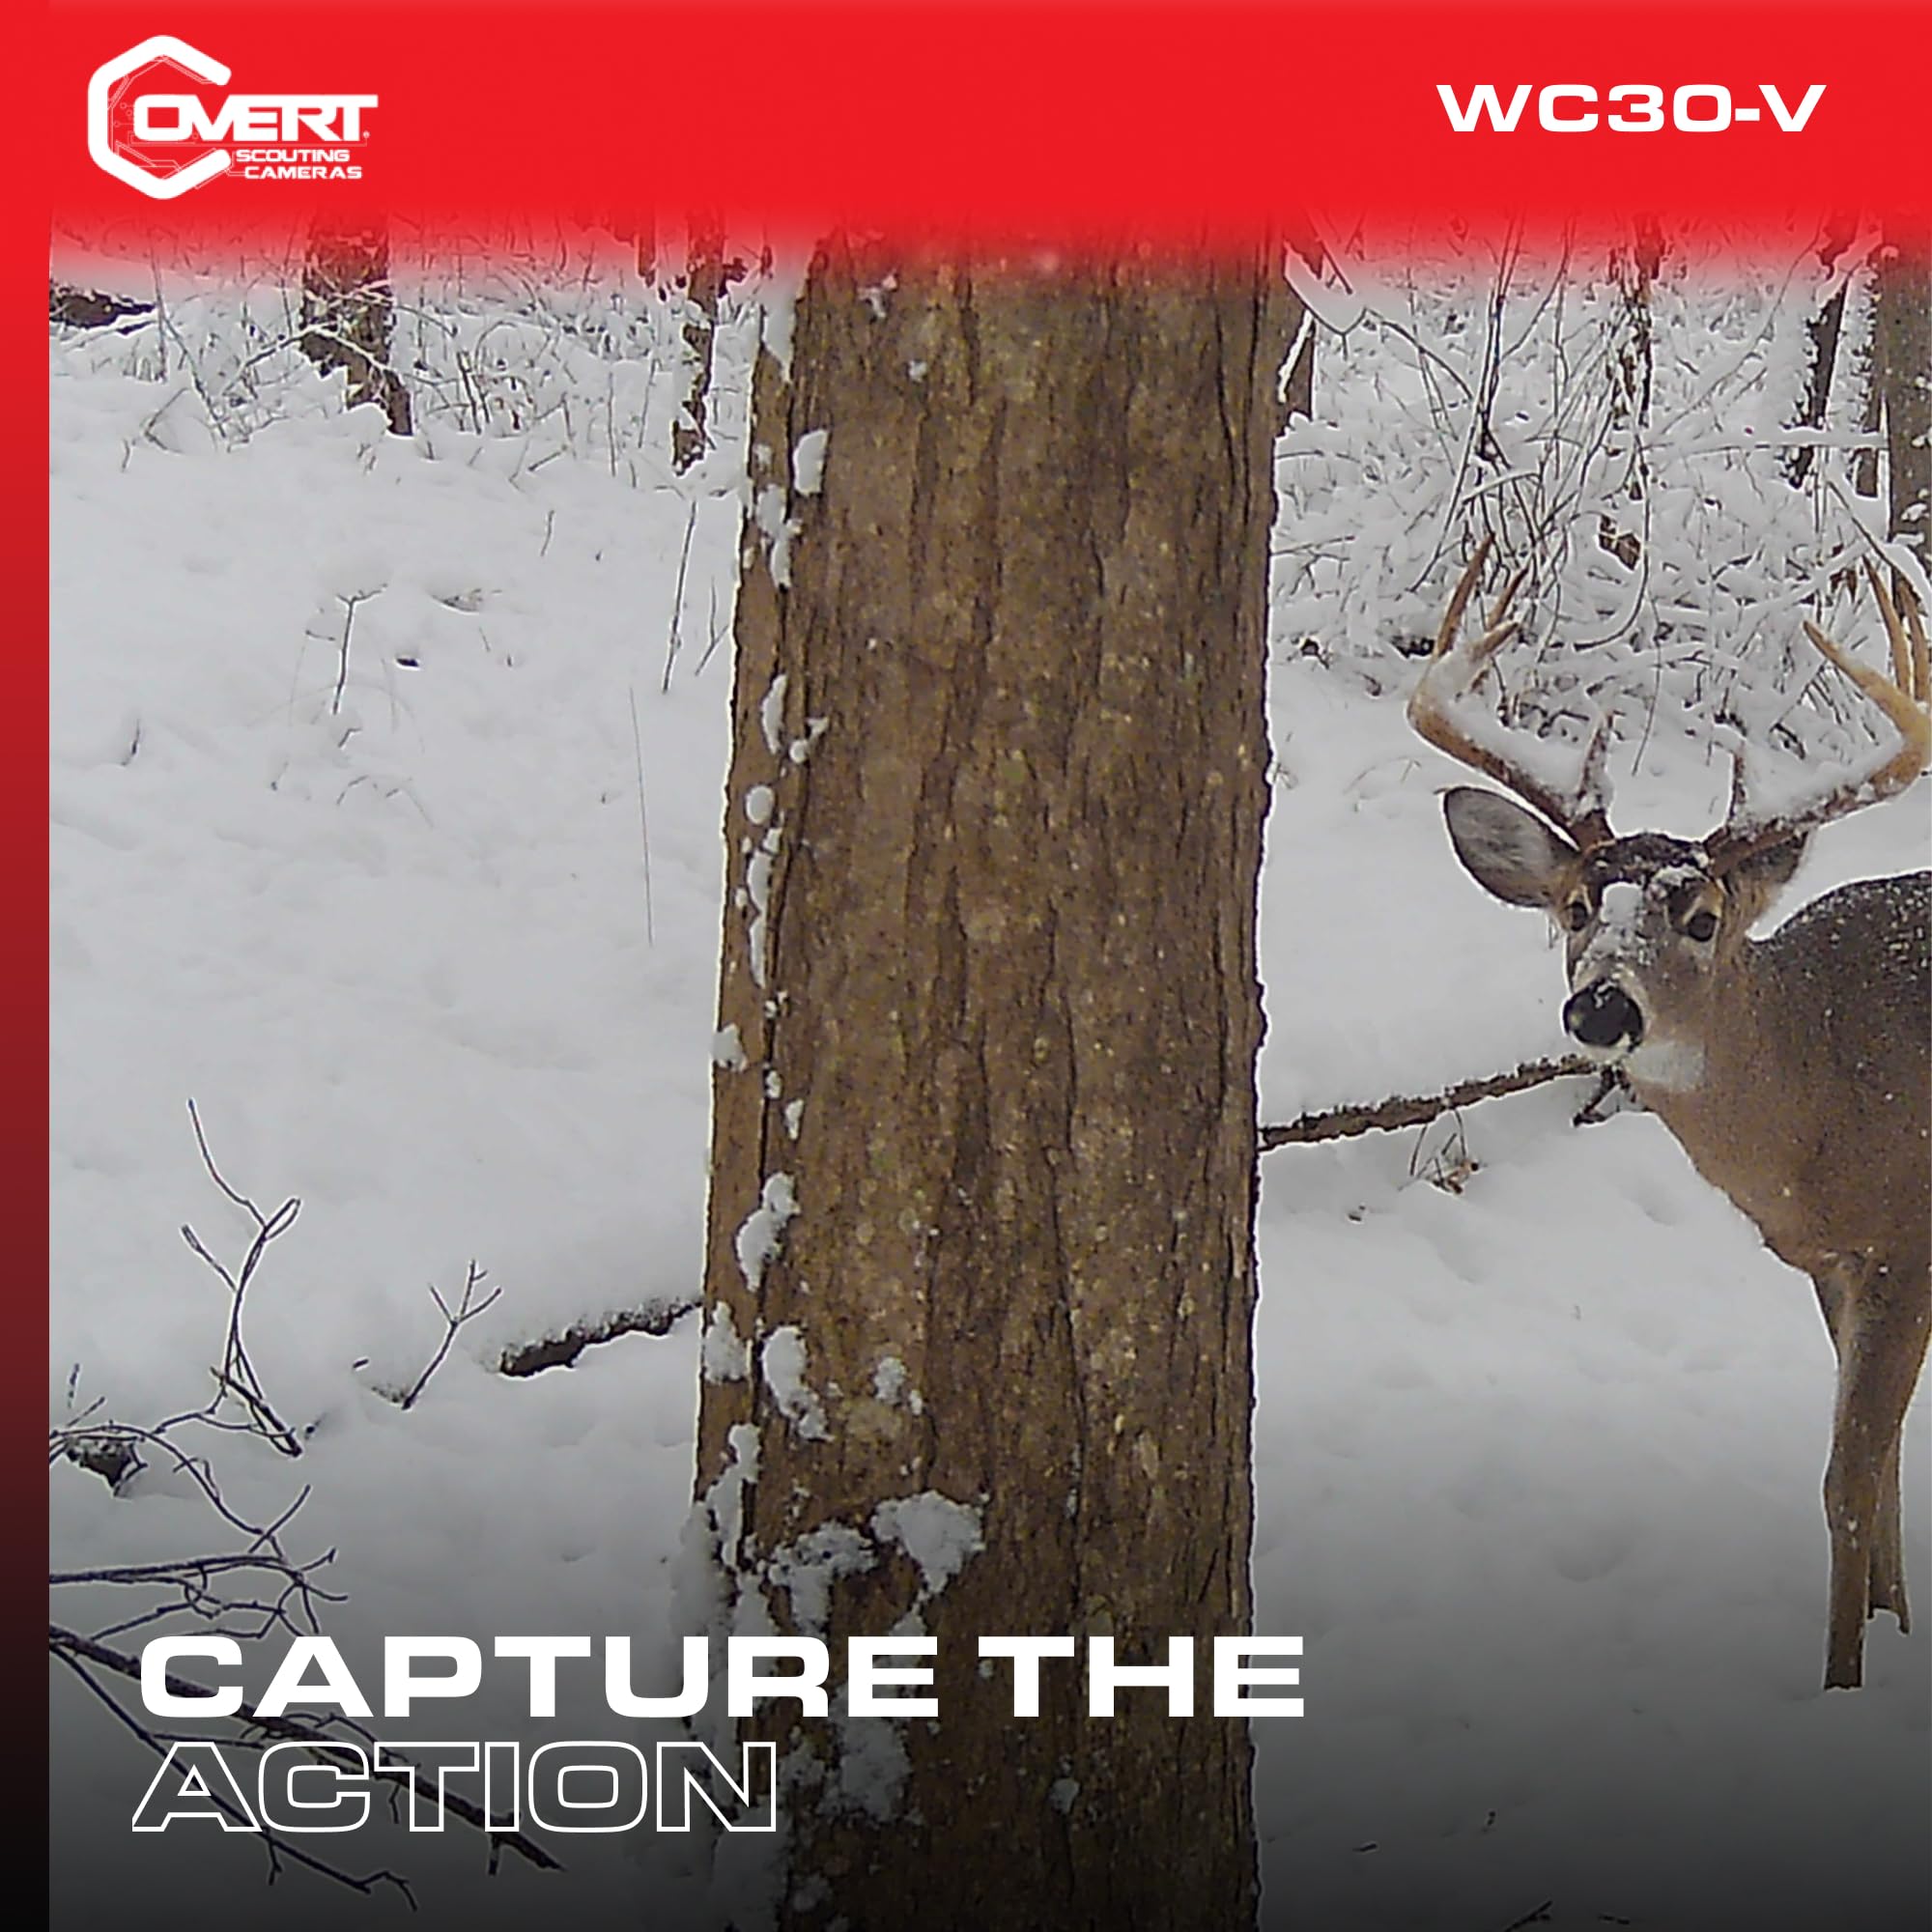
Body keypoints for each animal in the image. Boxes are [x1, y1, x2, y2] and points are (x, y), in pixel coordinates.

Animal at [1407, 536, 1931, 1690]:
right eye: (1573, 908)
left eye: (1700, 915)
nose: (1599, 1006)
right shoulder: (1831, 1261)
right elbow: (1877, 1470)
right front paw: (1894, 1631)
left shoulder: (1907, 1244)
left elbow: (1848, 1478)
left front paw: (1845, 1680)